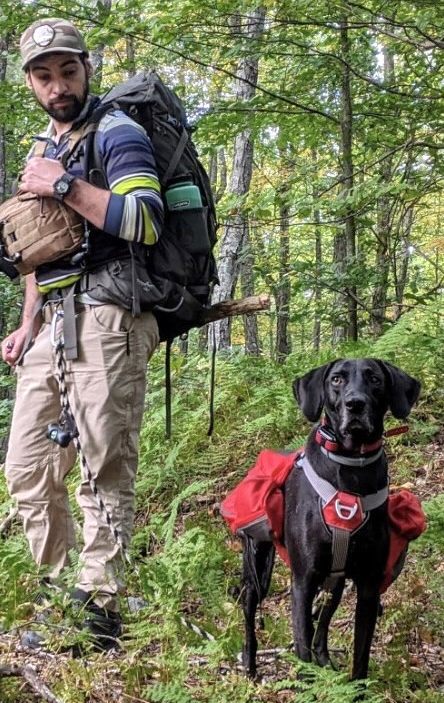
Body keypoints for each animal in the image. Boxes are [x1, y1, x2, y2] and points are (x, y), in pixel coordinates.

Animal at [241, 360, 422, 680]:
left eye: (375, 379)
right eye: (336, 379)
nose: (355, 403)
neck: (352, 467)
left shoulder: (368, 585)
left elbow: (360, 656)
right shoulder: (303, 581)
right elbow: (302, 650)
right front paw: (308, 683)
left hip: (334, 580)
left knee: (323, 623)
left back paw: (325, 659)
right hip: (257, 567)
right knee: (250, 613)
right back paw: (250, 664)